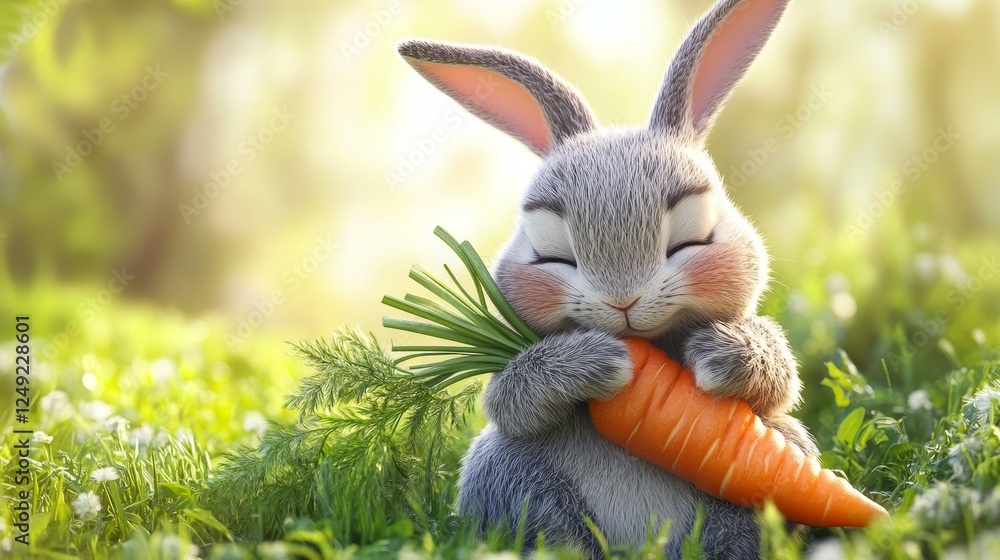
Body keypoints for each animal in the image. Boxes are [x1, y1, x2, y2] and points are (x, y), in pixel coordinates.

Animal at [397, 0, 815, 557]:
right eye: (551, 253)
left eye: (691, 239)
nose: (623, 301)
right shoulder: (511, 390)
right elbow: (510, 399)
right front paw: (602, 362)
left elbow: (778, 379)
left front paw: (715, 356)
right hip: (506, 471)